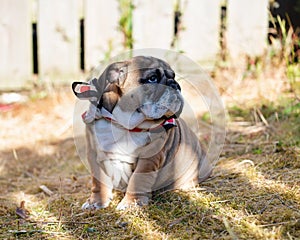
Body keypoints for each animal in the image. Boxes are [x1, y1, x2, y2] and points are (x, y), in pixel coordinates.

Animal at [72, 56, 213, 210]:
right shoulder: (94, 154)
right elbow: (98, 181)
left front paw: (131, 203)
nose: (175, 85)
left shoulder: (149, 158)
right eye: (152, 78)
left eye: (174, 77)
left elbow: (138, 179)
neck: (125, 125)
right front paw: (96, 201)